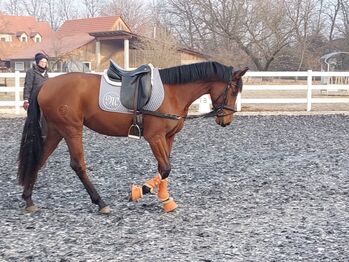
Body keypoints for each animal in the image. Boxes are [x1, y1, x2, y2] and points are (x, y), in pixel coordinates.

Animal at [17, 61, 247, 213]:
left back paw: (28, 200)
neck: (173, 92)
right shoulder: (155, 137)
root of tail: (46, 85)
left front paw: (165, 200)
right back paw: (101, 203)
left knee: (39, 160)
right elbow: (165, 168)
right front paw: (140, 191)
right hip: (71, 129)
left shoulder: (168, 137)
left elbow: (164, 168)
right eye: (233, 89)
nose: (226, 120)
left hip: (57, 131)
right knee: (77, 165)